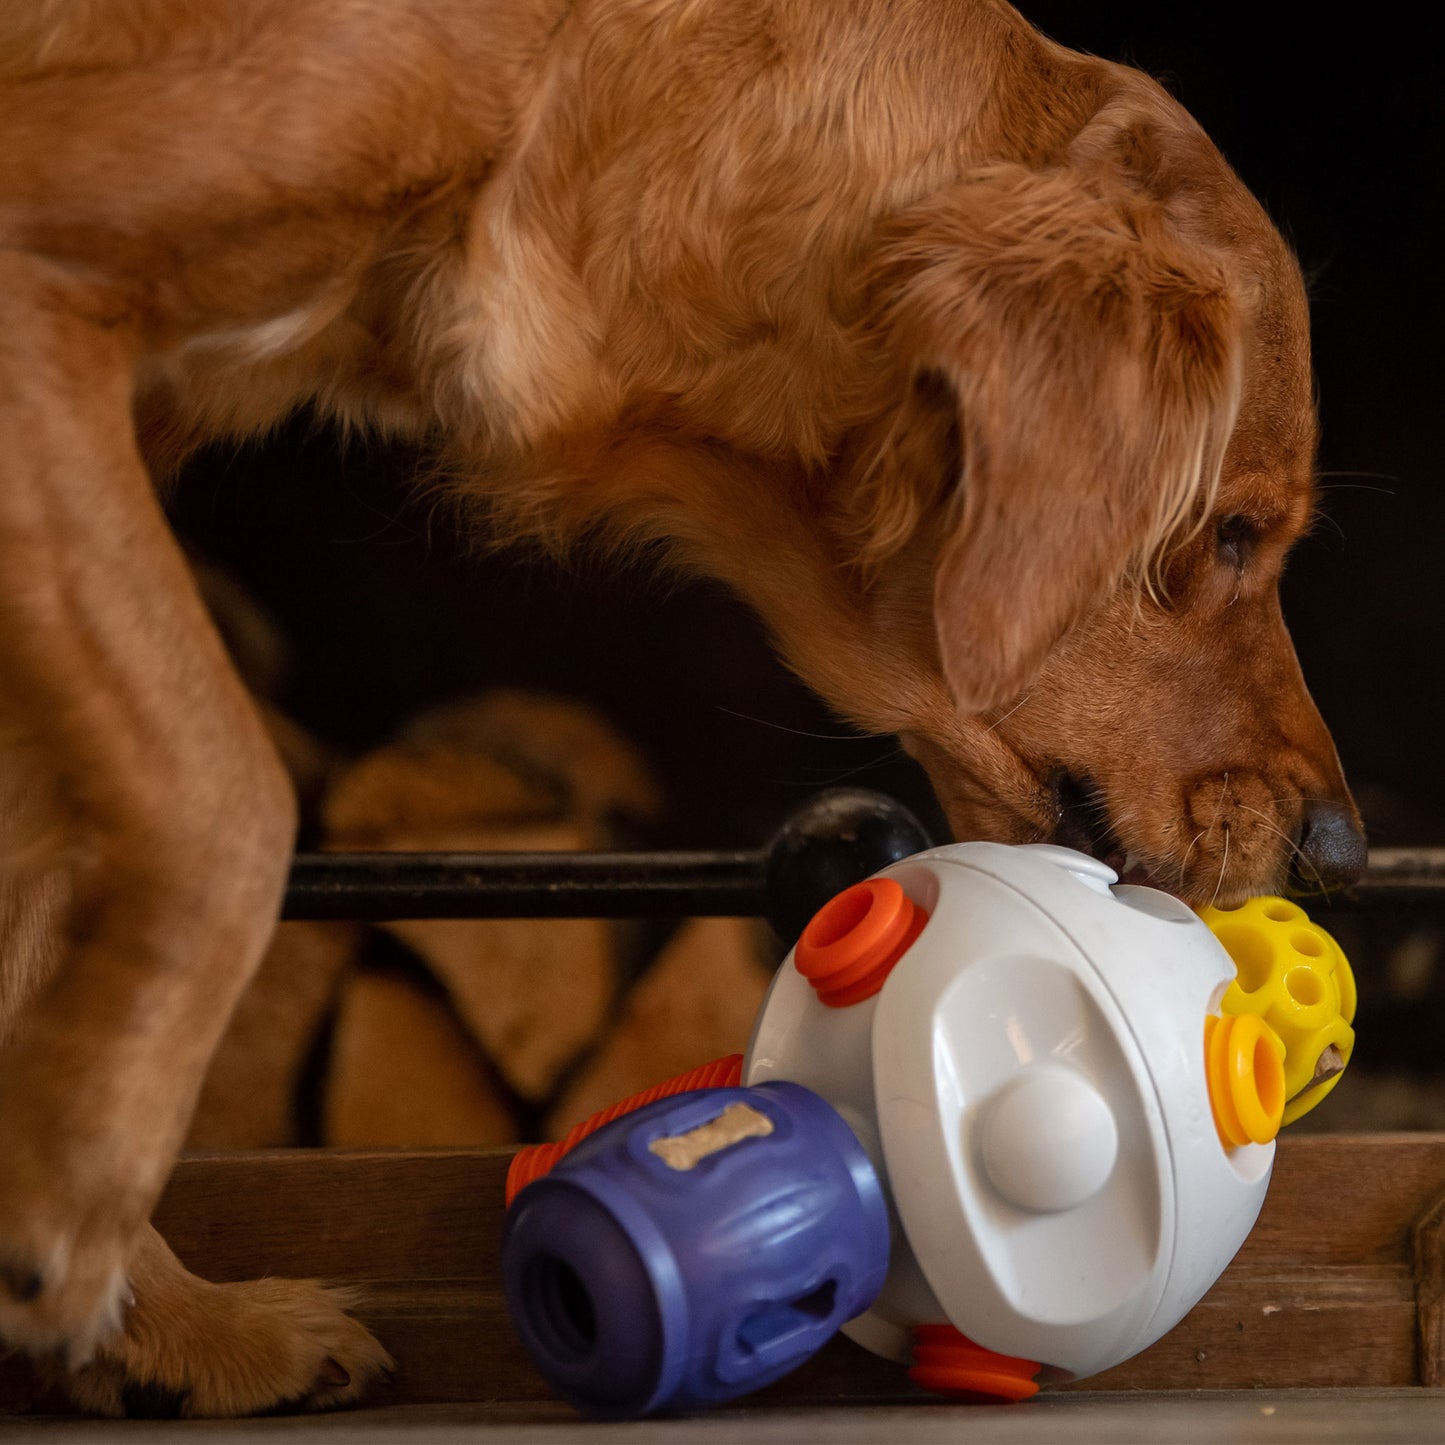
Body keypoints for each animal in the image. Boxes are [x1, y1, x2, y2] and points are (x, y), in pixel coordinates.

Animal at [2, 0, 1364, 1421]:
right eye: (1230, 530)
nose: (1342, 846)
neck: (561, 100)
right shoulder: (38, 294)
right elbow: (226, 793)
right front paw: (74, 1213)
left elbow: (43, 882)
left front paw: (151, 1322)